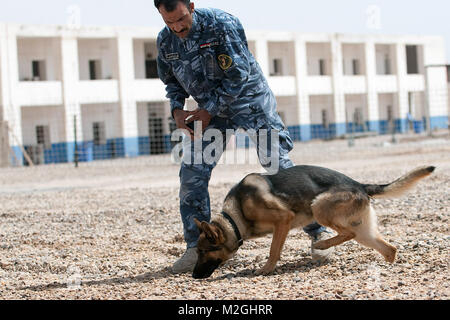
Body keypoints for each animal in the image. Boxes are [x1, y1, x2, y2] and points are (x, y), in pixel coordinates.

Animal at [193, 165, 436, 278]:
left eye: (203, 252)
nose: (194, 276)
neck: (235, 216)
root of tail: (359, 184)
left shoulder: (283, 220)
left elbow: (273, 250)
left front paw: (266, 269)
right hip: (365, 232)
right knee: (388, 248)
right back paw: (388, 267)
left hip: (318, 207)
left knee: (348, 234)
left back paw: (321, 244)